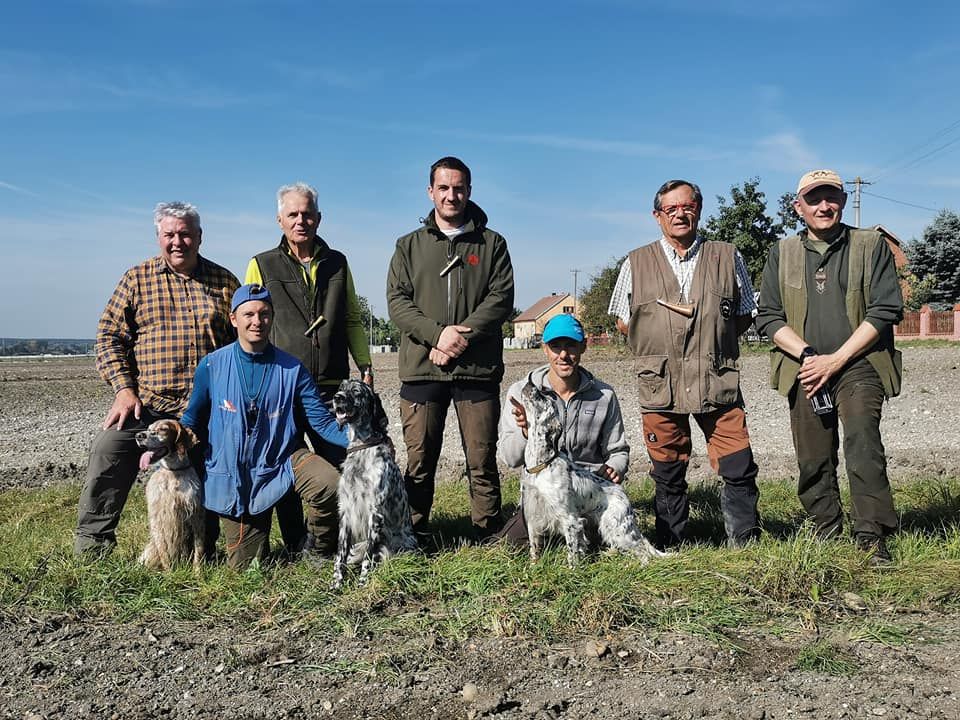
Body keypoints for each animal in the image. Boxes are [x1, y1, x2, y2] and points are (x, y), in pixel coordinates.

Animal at [135, 420, 206, 572]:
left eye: (163, 429)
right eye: (148, 428)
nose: (139, 436)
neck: (174, 472)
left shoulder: (197, 515)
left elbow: (199, 549)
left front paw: (198, 573)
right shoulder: (158, 517)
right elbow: (164, 552)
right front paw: (169, 574)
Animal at [330, 376, 416, 584]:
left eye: (356, 391)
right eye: (341, 387)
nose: (337, 397)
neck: (362, 448)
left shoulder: (375, 513)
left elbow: (369, 556)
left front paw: (362, 582)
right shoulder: (345, 510)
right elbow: (340, 554)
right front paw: (336, 584)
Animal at [516, 382, 668, 568]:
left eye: (542, 398)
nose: (530, 383)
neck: (542, 465)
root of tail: (623, 495)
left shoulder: (570, 520)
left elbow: (572, 552)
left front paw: (572, 571)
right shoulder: (533, 516)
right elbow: (534, 547)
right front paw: (533, 567)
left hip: (616, 528)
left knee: (643, 552)